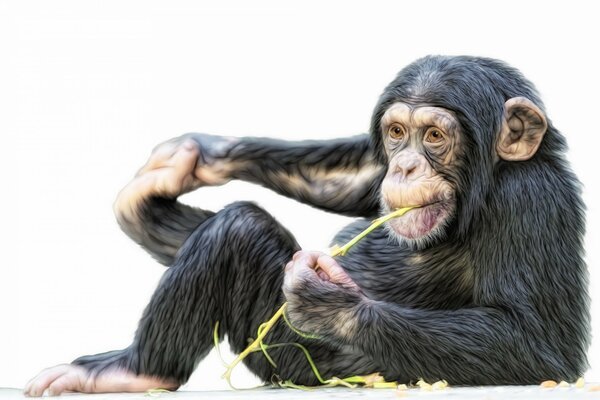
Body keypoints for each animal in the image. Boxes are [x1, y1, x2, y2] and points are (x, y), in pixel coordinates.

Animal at [24, 55, 592, 396]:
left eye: (434, 136)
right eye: (397, 133)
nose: (406, 167)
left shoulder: (531, 201)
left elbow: (538, 341)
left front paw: (327, 301)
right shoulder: (371, 169)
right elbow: (354, 175)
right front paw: (201, 156)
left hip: (294, 361)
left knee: (237, 229)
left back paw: (133, 370)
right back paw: (146, 210)